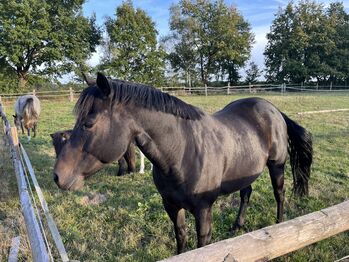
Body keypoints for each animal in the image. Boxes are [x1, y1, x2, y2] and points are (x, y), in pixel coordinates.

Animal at [53, 73, 312, 254]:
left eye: (88, 123)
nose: (57, 176)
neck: (182, 151)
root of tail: (272, 108)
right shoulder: (171, 205)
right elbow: (181, 238)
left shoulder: (203, 210)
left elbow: (202, 246)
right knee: (245, 193)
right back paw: (237, 226)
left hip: (277, 165)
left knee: (279, 194)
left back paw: (279, 224)